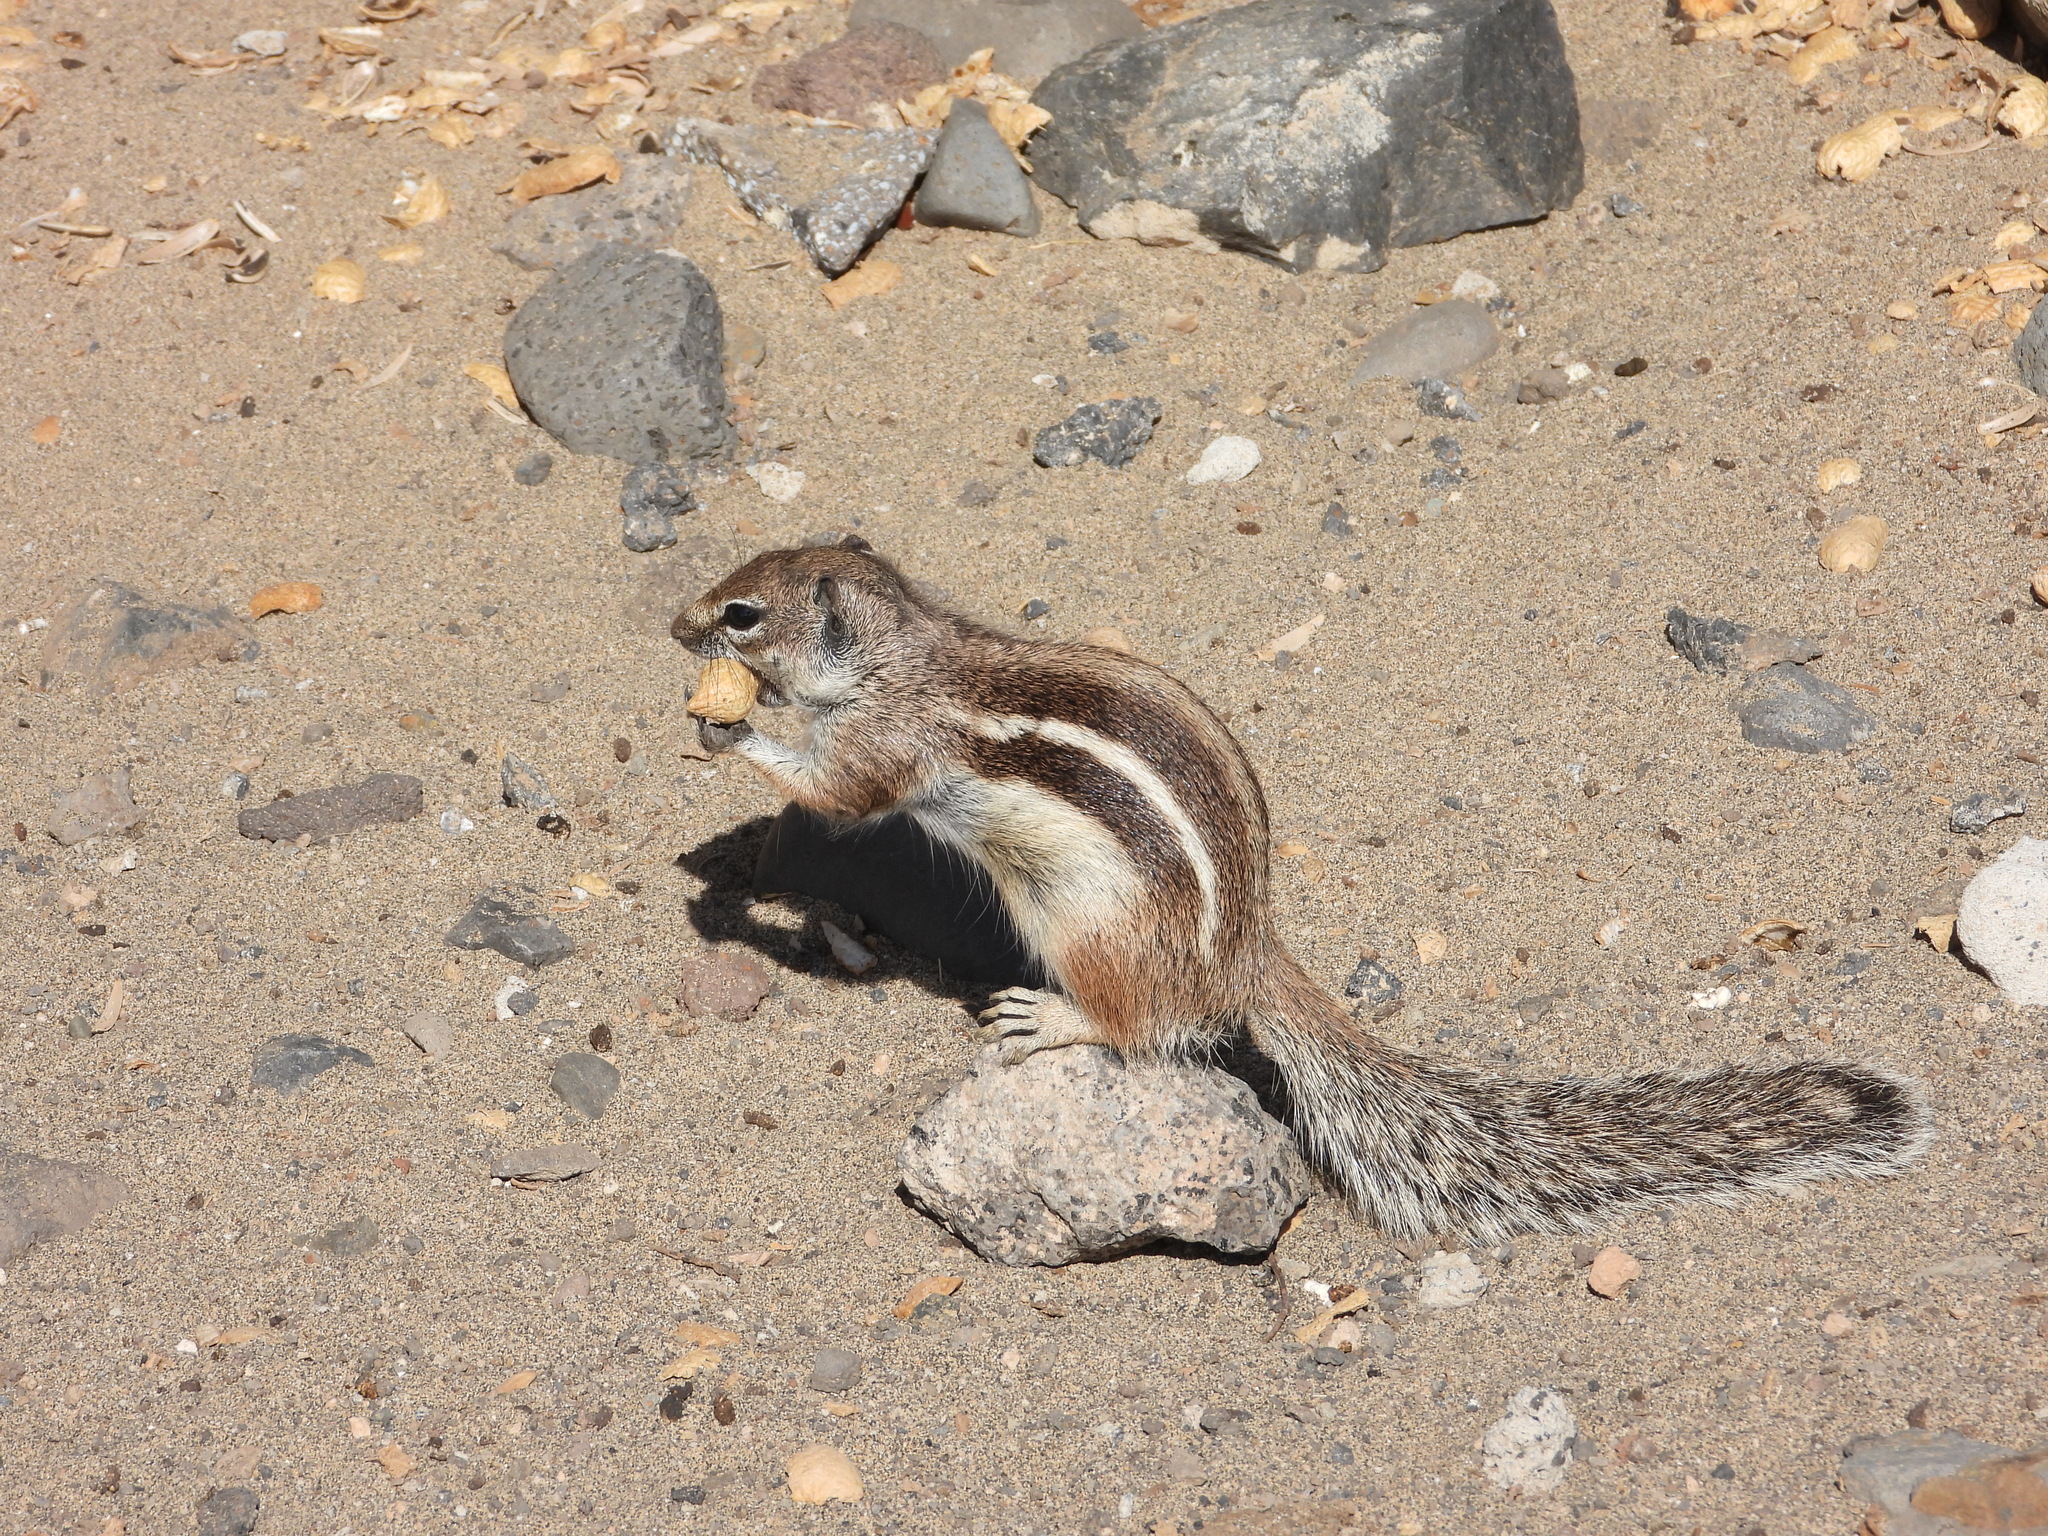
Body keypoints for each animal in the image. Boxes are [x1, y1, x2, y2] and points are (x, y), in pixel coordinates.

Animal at [671, 536, 1933, 1236]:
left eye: (742, 612)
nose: (674, 622)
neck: (905, 651)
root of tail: (1247, 955)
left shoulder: (888, 744)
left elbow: (835, 787)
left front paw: (729, 734)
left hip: (1086, 928)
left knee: (1145, 1026)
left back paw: (1055, 1019)